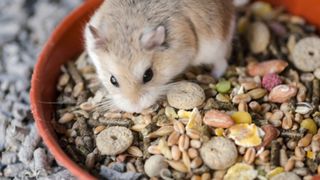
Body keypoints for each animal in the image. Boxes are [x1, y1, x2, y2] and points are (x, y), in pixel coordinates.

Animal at [85, 0, 235, 112]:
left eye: (148, 75)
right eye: (113, 80)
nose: (136, 108)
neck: (129, 30)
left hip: (215, 48)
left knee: (222, 63)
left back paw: (213, 75)